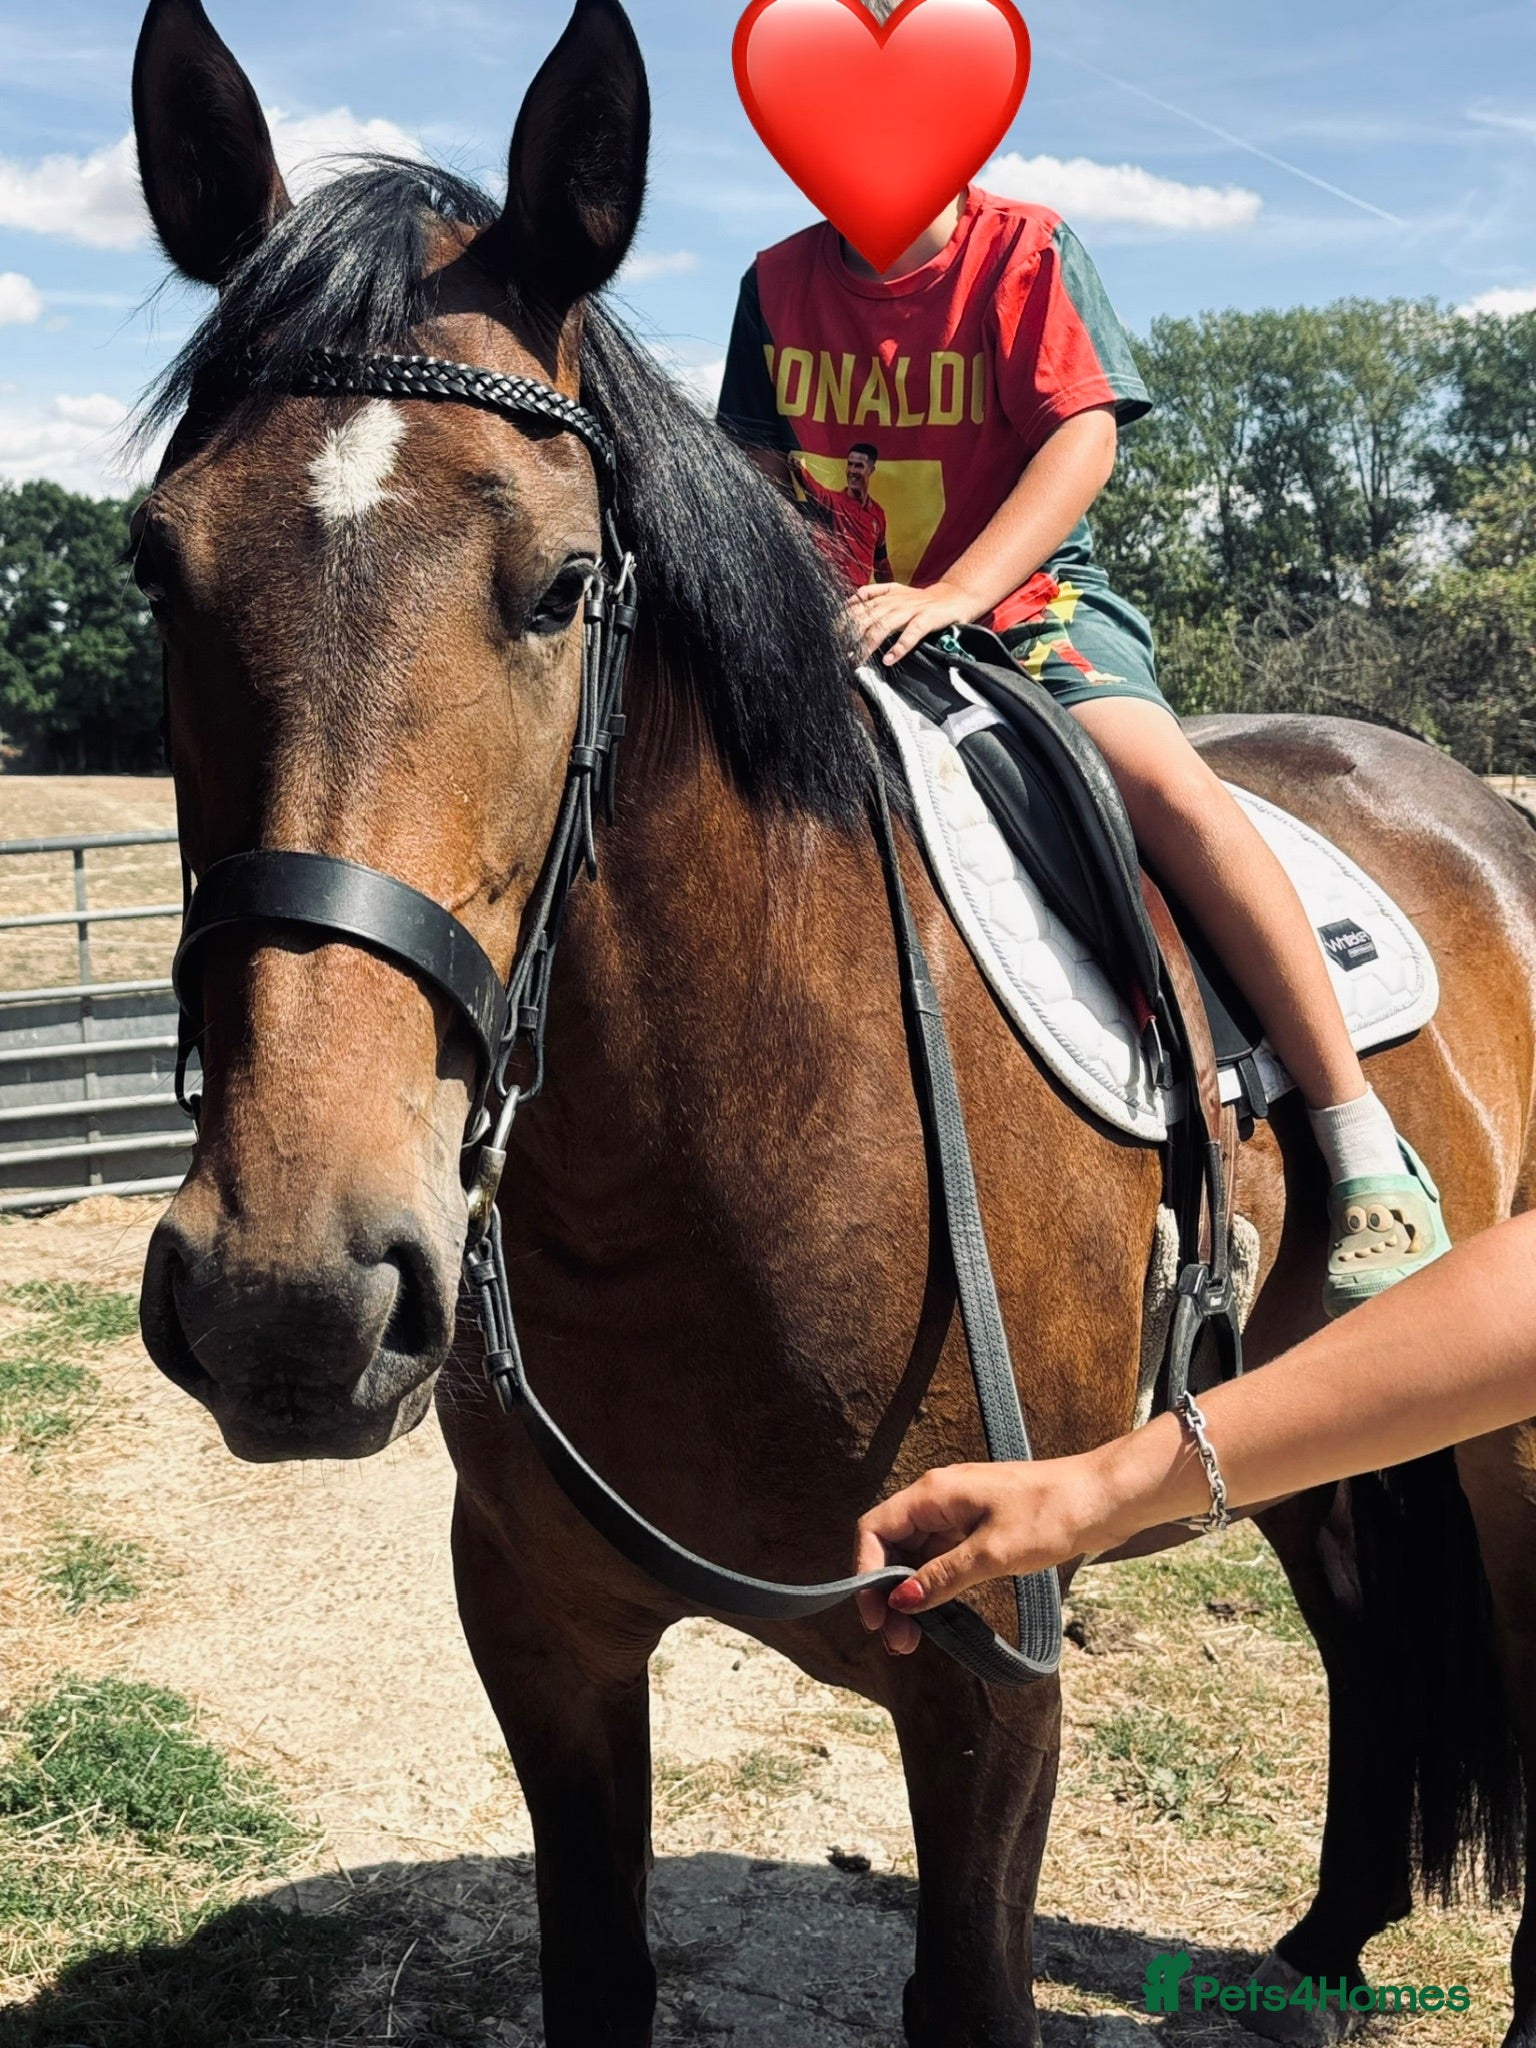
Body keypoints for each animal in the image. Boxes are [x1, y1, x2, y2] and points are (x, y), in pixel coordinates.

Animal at [130, 2, 1536, 2042]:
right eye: (155, 567)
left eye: (561, 584)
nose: (287, 1295)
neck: (735, 1142)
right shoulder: (543, 1631)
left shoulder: (990, 1670)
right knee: (1360, 1617)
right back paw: (1329, 1937)